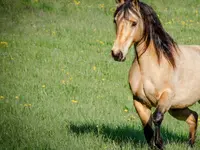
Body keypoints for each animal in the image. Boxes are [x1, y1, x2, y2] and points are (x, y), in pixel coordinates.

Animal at [111, 0, 200, 149]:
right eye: (115, 21)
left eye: (134, 23)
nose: (117, 53)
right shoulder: (139, 102)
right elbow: (147, 128)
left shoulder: (166, 98)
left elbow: (157, 117)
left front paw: (160, 144)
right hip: (177, 107)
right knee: (193, 117)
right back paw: (190, 145)